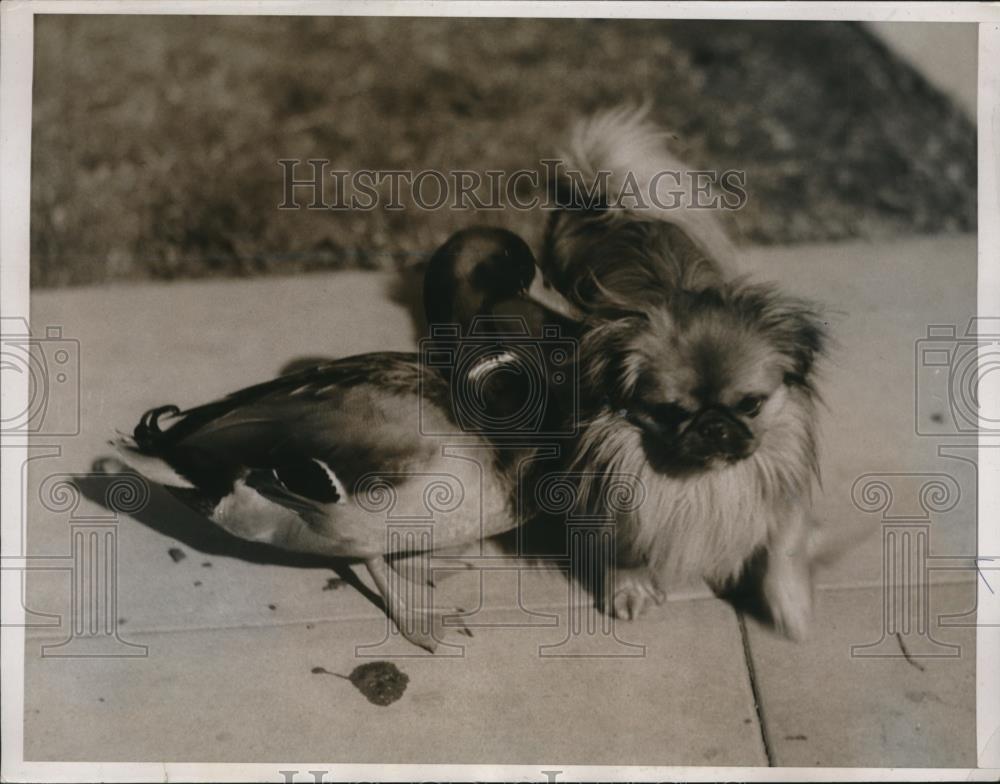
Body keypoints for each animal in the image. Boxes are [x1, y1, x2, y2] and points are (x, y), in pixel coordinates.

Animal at [540, 107, 828, 640]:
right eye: (671, 411)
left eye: (751, 404)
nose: (714, 426)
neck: (701, 481)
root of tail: (617, 209)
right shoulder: (618, 493)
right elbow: (626, 546)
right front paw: (629, 589)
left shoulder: (780, 488)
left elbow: (785, 544)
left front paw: (790, 604)